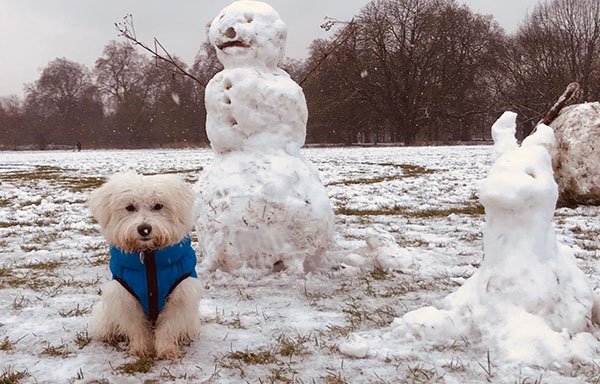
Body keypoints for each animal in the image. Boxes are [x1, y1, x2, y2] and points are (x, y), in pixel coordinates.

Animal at [86, 172, 203, 358]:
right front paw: (141, 349)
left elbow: (168, 327)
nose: (144, 229)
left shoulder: (180, 296)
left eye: (158, 206)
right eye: (130, 207)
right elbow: (137, 327)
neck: (149, 256)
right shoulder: (125, 297)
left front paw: (167, 350)